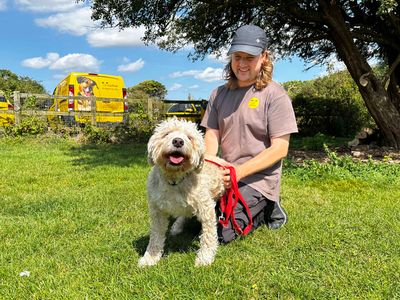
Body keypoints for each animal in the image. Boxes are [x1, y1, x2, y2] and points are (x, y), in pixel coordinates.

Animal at [138, 118, 225, 268]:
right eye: (167, 134)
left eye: (189, 137)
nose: (178, 141)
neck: (175, 179)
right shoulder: (157, 212)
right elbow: (155, 237)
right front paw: (150, 257)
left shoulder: (206, 208)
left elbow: (208, 236)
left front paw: (205, 258)